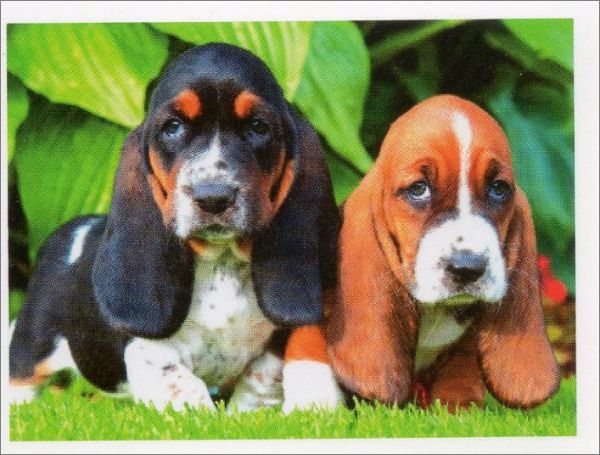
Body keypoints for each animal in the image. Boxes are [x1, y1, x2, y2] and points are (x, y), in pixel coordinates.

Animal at [9, 43, 340, 412]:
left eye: (258, 126)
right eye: (173, 127)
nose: (213, 197)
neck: (221, 262)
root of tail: (78, 227)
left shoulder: (272, 345)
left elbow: (259, 382)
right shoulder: (148, 351)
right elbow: (183, 384)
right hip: (31, 344)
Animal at [316, 95, 560, 411]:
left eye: (498, 189)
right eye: (419, 189)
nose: (467, 268)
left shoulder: (462, 354)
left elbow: (459, 380)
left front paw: (459, 410)